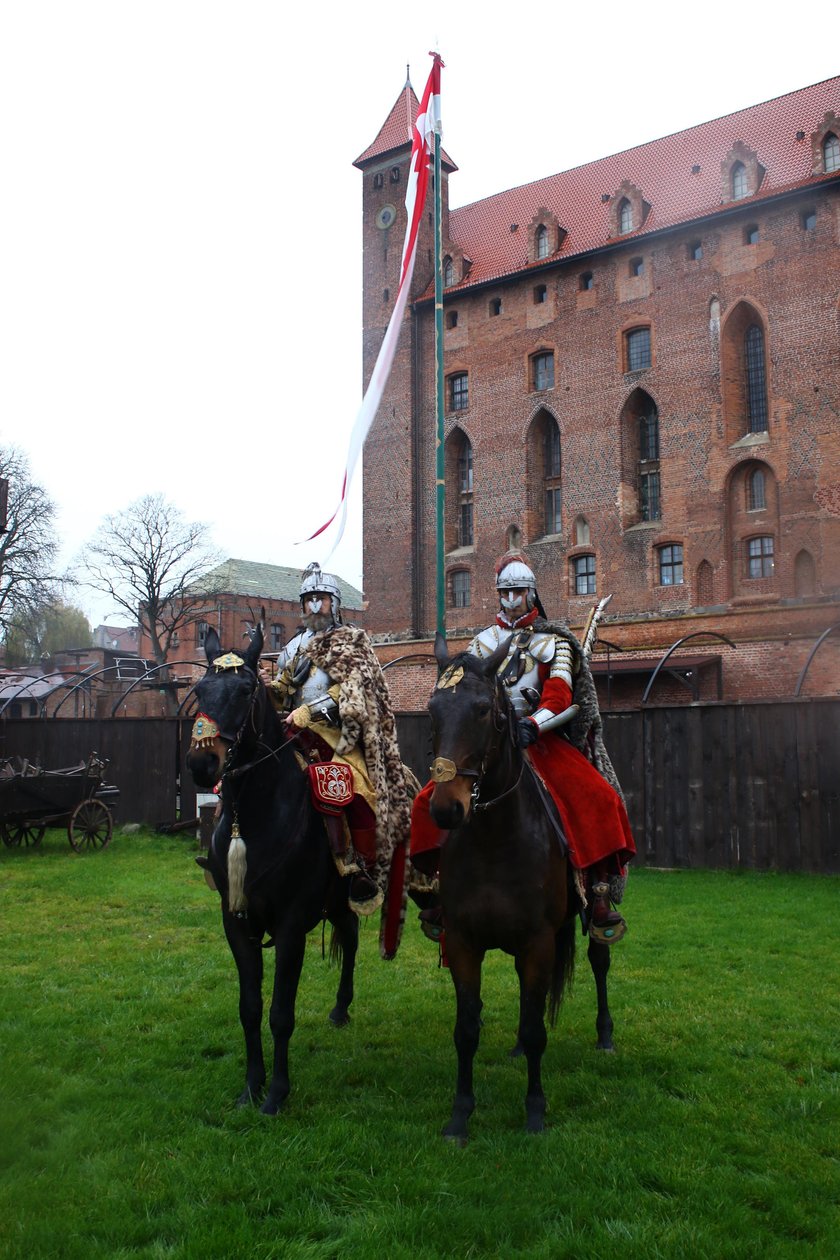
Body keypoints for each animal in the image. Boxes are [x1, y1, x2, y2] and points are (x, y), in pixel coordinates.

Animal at [183, 622, 357, 1113]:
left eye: (245, 689)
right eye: (200, 689)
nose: (202, 764)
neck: (255, 817)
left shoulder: (291, 924)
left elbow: (281, 1013)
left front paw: (277, 1092)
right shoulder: (236, 922)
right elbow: (250, 1008)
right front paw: (250, 1086)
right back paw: (340, 1008)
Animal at [428, 635, 617, 1139]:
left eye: (481, 710)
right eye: (434, 709)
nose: (446, 809)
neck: (496, 838)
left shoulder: (538, 941)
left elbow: (537, 1030)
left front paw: (535, 1110)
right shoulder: (463, 942)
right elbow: (465, 1030)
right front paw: (460, 1114)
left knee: (599, 960)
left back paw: (606, 1033)